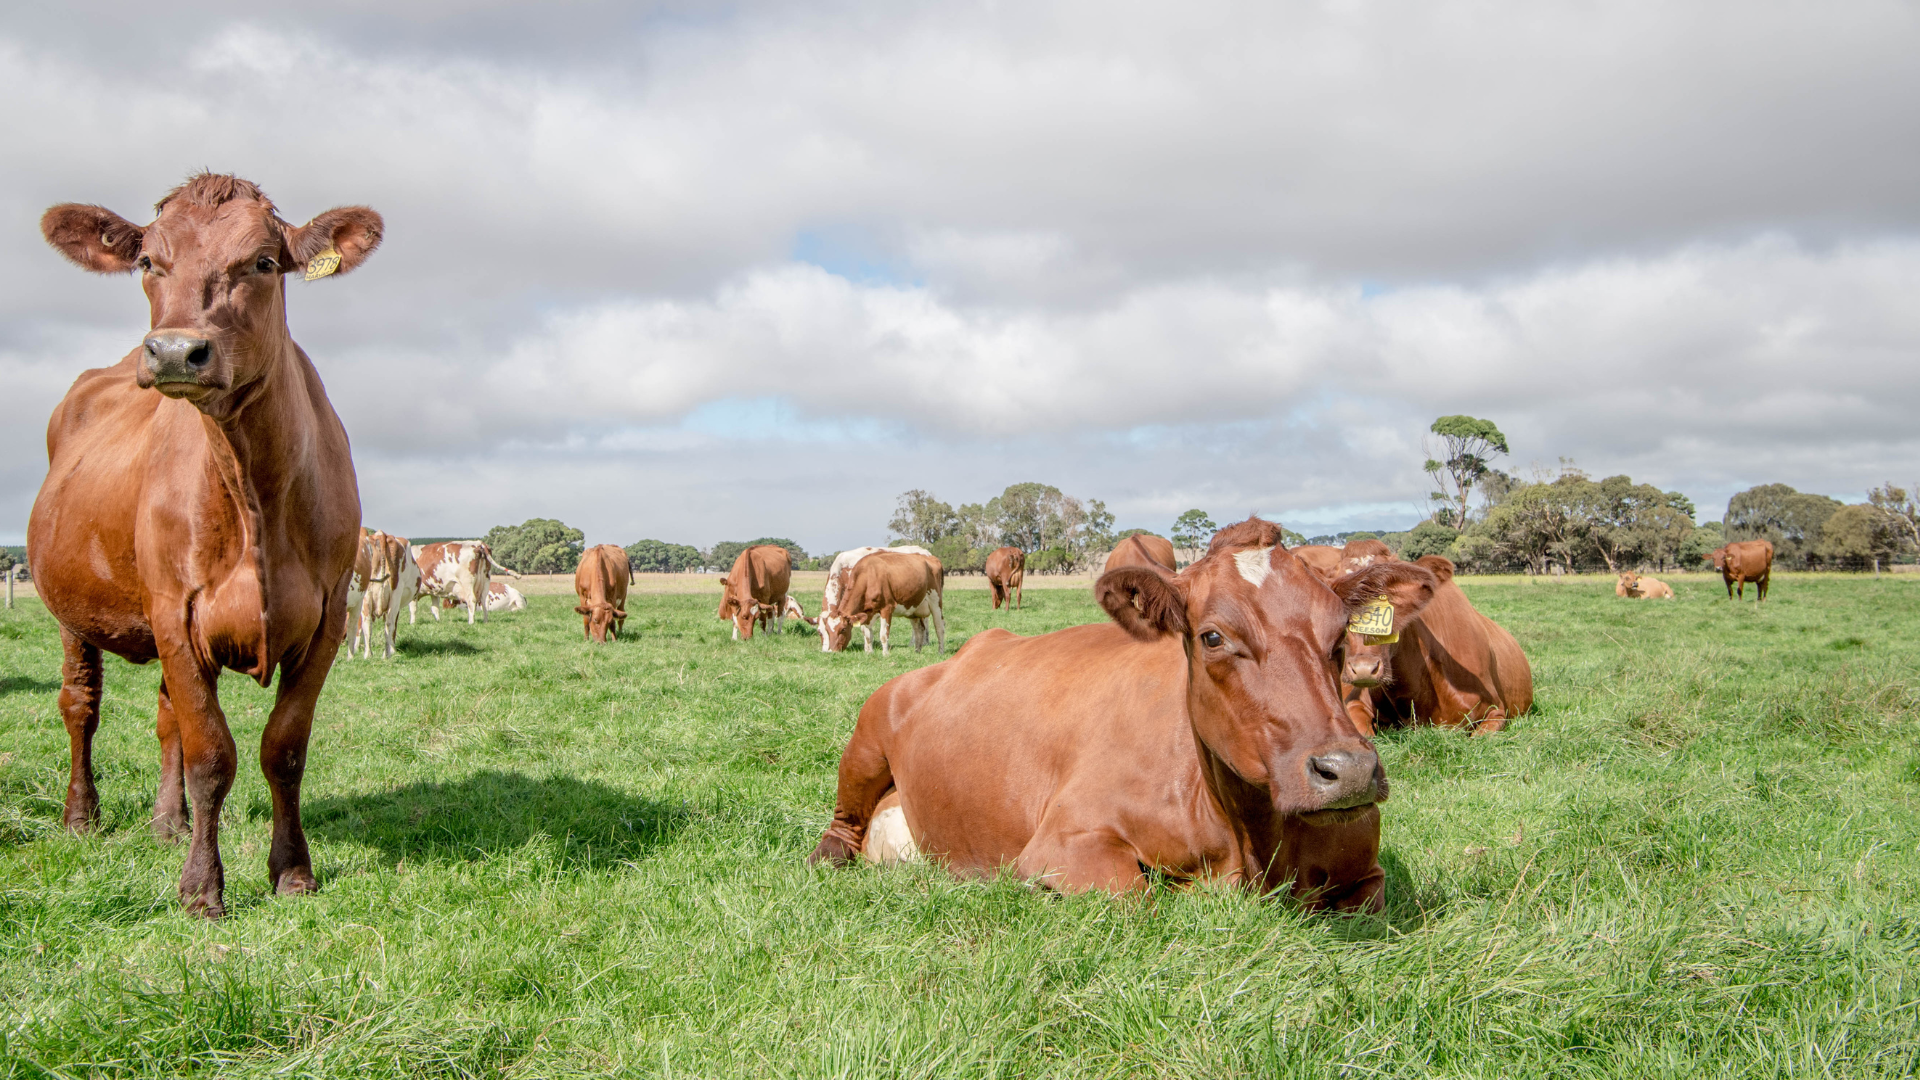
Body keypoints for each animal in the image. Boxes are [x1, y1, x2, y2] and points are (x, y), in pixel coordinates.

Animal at [31, 173, 379, 916]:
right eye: (147, 261)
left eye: (263, 262)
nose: (171, 352)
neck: (254, 487)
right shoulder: (175, 612)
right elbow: (212, 755)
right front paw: (201, 889)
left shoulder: (329, 615)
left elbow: (283, 749)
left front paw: (293, 871)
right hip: (71, 611)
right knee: (81, 706)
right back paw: (82, 815)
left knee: (167, 718)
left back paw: (169, 822)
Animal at [809, 517, 1438, 910]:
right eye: (1212, 636)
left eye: (1339, 635)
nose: (1348, 770)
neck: (1249, 837)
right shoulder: (1062, 842)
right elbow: (1136, 895)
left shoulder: (1367, 873)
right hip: (868, 736)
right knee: (842, 829)